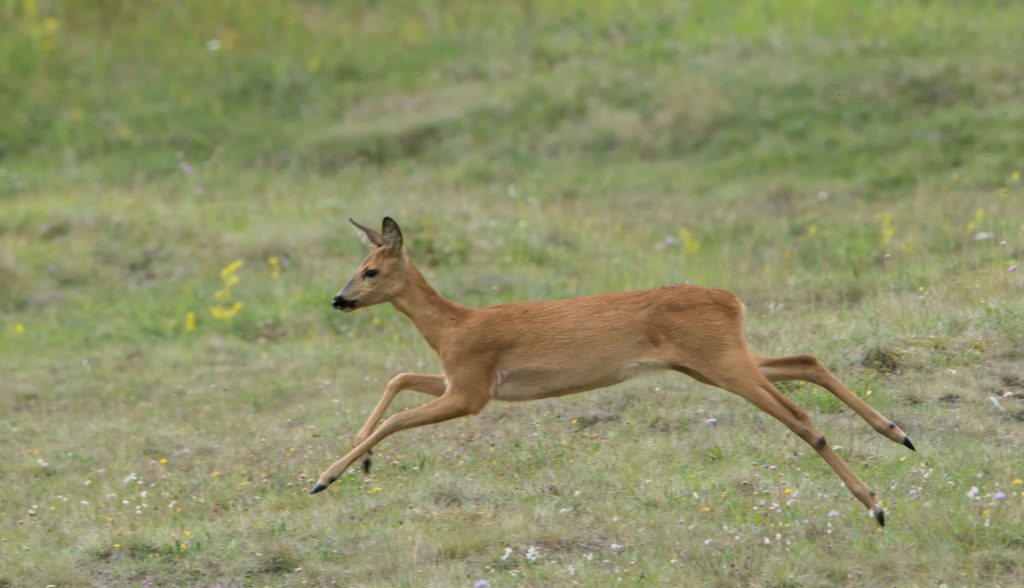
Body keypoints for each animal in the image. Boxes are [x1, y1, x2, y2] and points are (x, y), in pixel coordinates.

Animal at [311, 217, 915, 526]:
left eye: (370, 270)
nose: (339, 300)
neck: (453, 327)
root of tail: (732, 300)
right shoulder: (463, 381)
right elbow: (397, 379)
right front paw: (360, 461)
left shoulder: (473, 389)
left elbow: (397, 411)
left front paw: (325, 477)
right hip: (711, 361)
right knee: (806, 361)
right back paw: (899, 434)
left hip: (720, 361)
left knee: (800, 417)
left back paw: (876, 503)